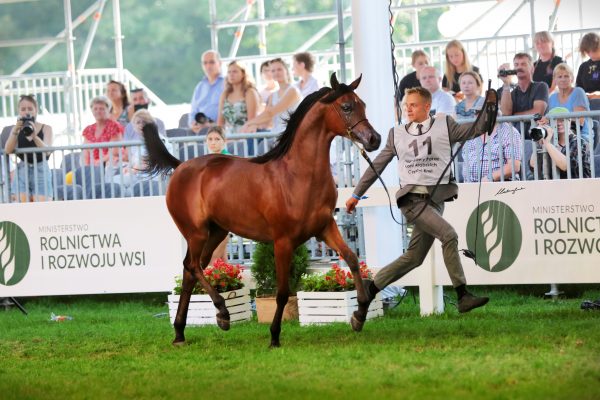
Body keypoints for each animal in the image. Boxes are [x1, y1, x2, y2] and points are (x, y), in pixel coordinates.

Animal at [143, 72, 382, 346]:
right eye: (346, 107)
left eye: (363, 104)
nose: (374, 139)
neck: (297, 176)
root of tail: (180, 166)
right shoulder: (283, 242)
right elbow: (282, 292)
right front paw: (274, 336)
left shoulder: (325, 228)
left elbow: (352, 259)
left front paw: (359, 314)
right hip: (196, 233)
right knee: (192, 266)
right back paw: (222, 313)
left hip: (216, 233)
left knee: (191, 270)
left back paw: (181, 332)